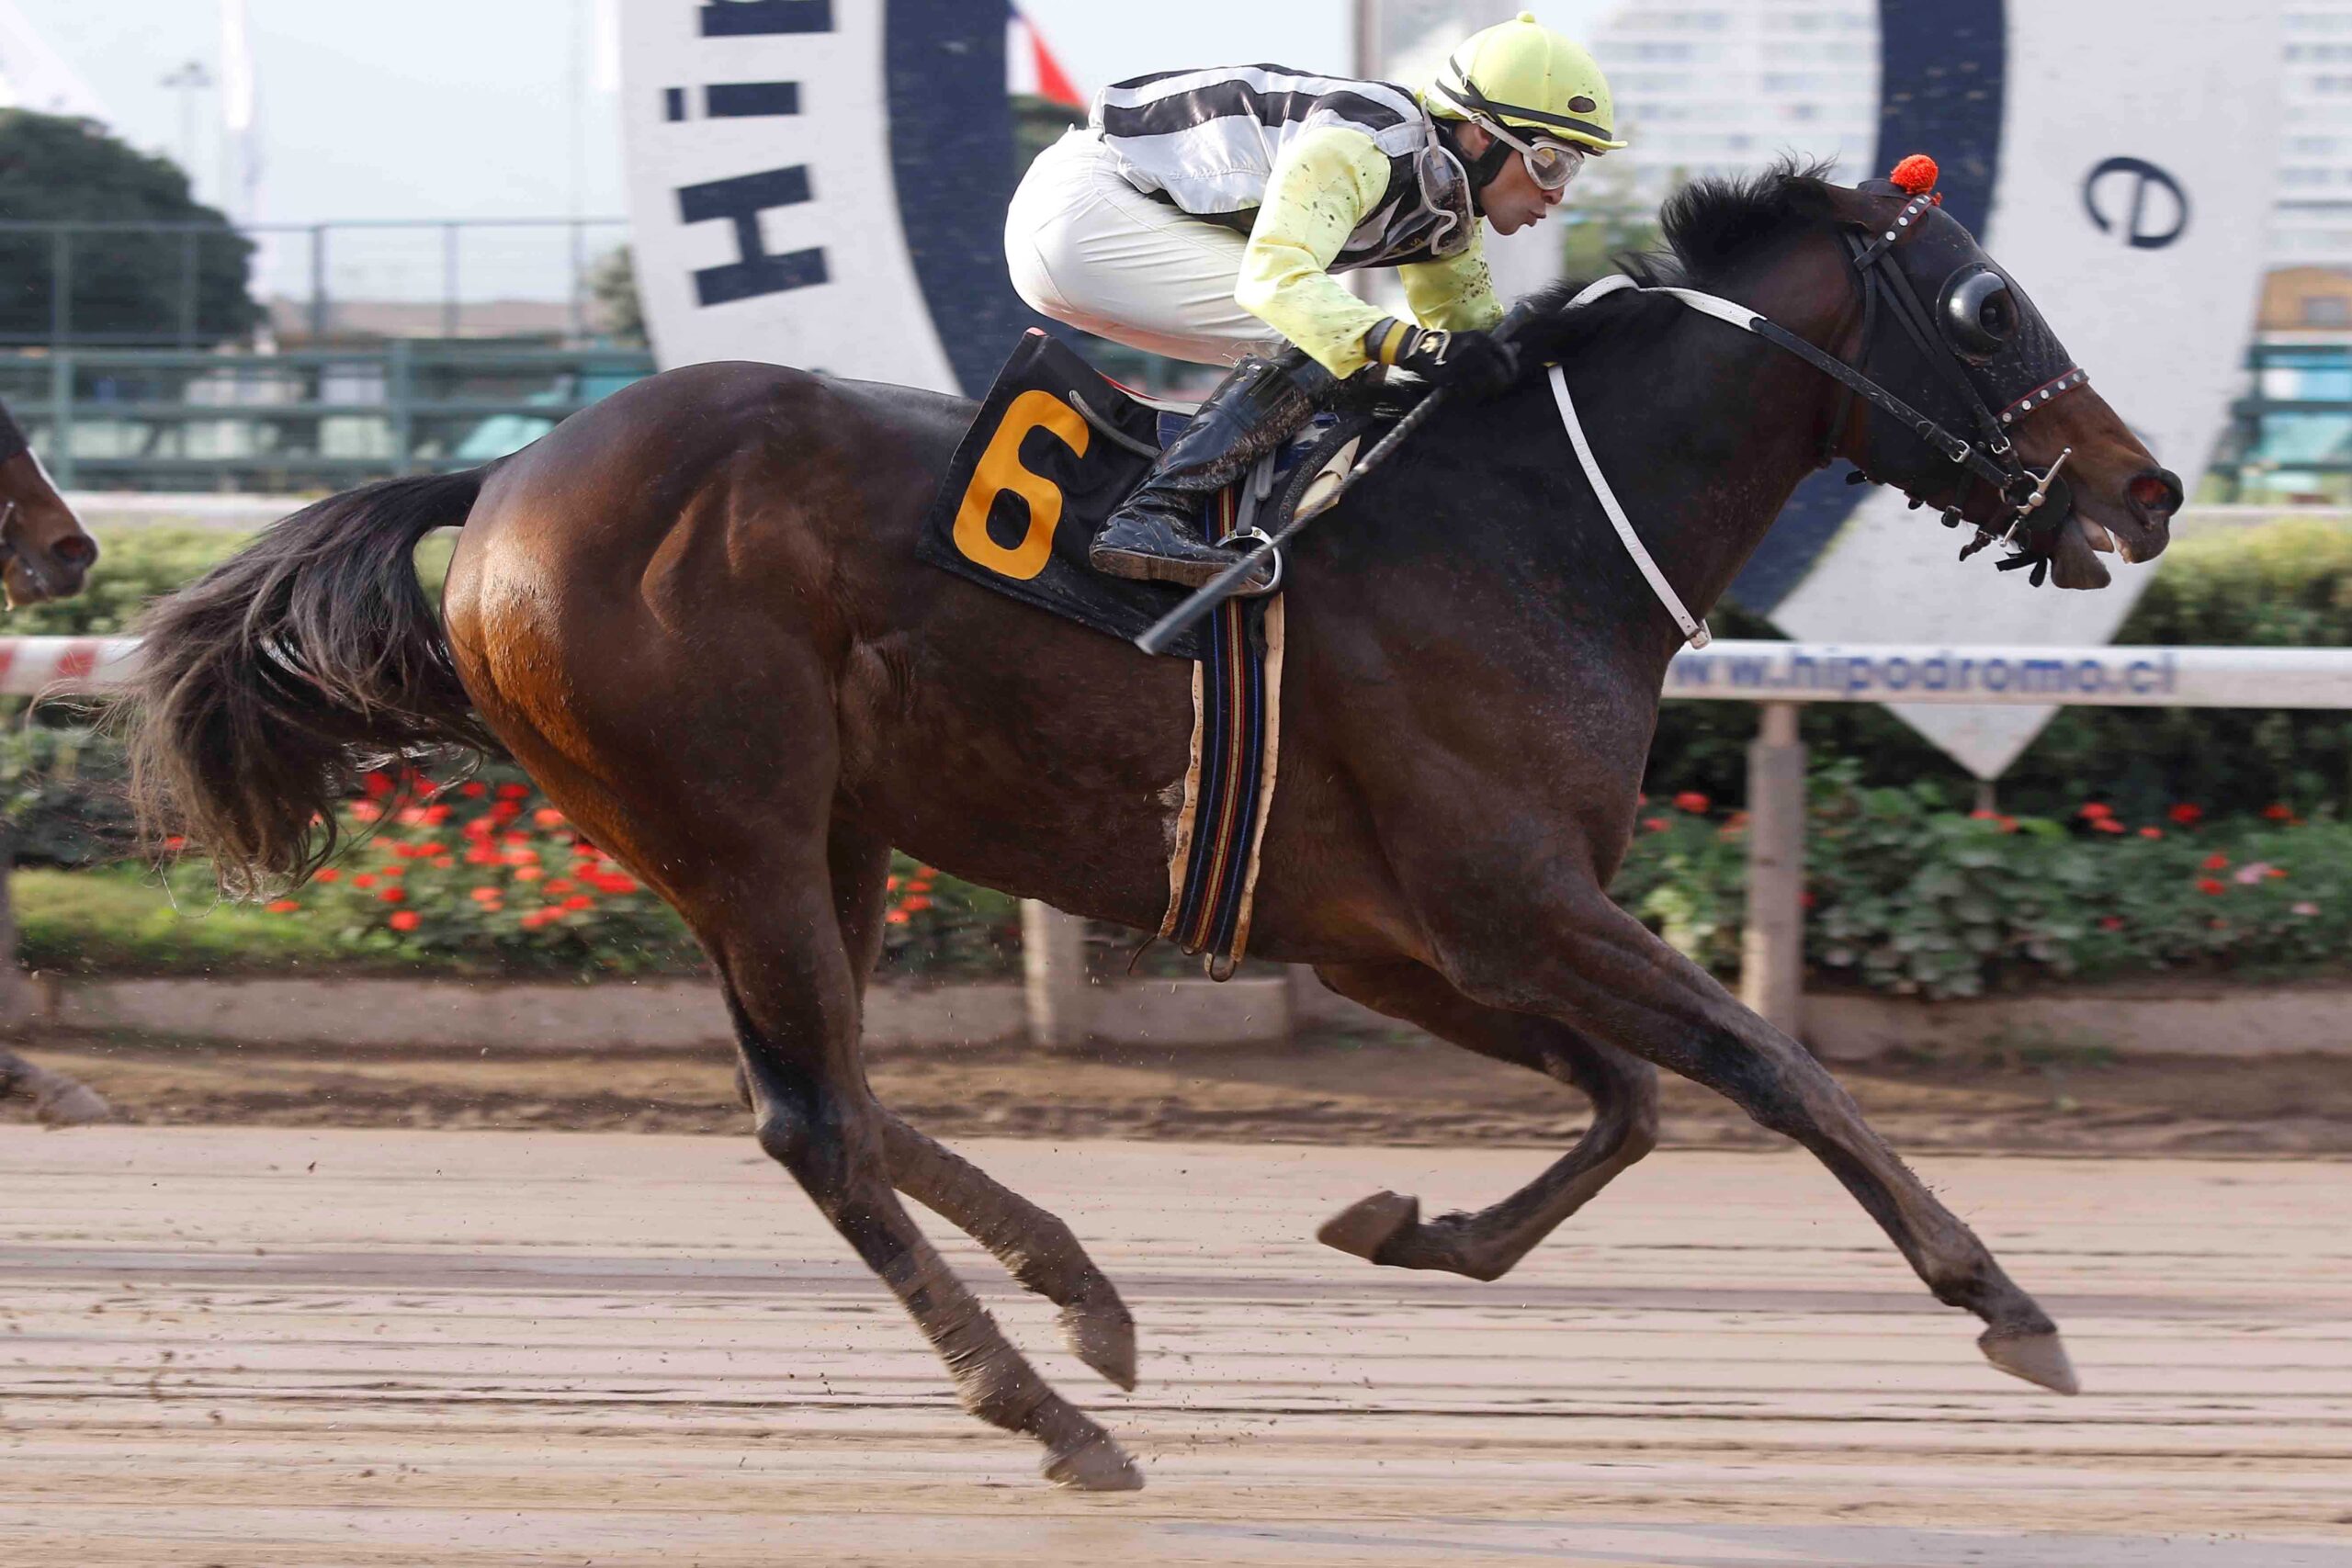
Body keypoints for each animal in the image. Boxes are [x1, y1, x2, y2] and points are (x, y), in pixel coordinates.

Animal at [124, 164, 2181, 1490]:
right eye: (1990, 301)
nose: (2146, 489)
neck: (1527, 531)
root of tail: (511, 474)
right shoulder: (1510, 897)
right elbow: (1769, 1065)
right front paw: (2004, 1299)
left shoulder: (1403, 931)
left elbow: (1627, 1100)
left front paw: (1404, 1222)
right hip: (732, 822)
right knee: (812, 1118)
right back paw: (1051, 1411)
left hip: (816, 832)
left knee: (834, 1089)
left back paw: (1086, 1293)